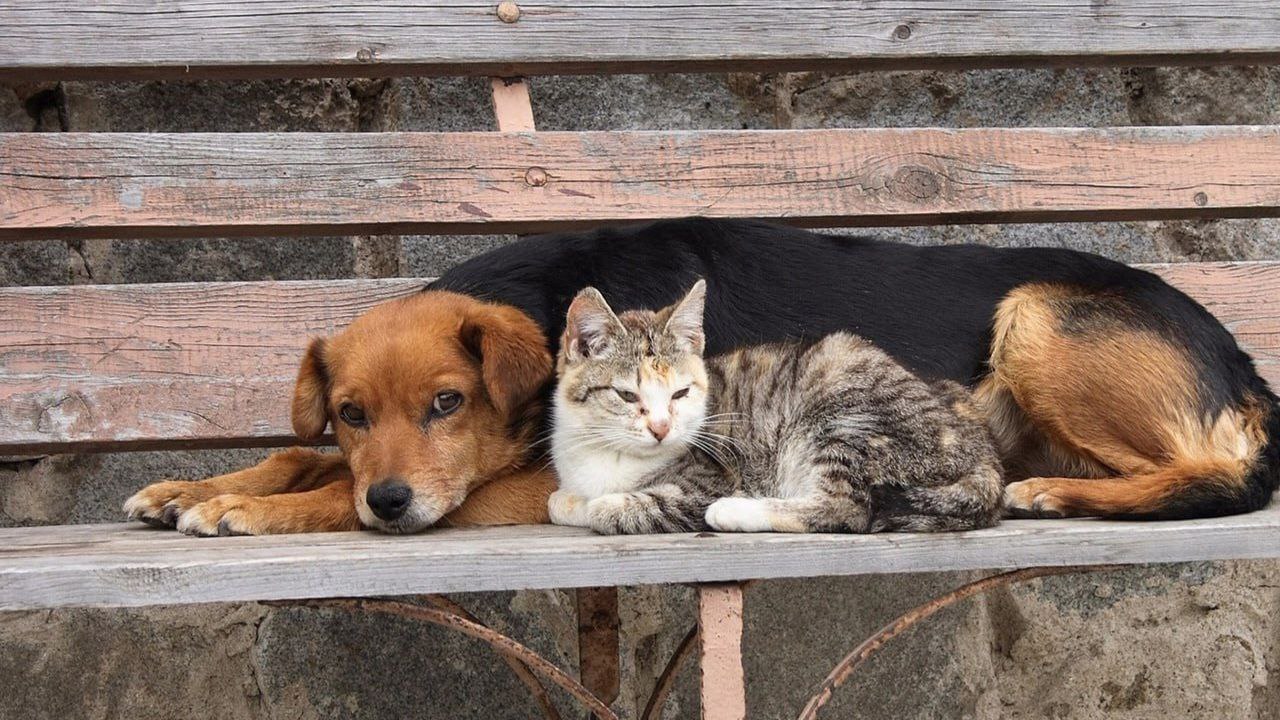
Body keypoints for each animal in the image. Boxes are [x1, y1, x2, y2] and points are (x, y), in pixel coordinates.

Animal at [545, 280, 1003, 532]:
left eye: (680, 394)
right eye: (627, 395)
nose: (661, 428)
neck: (607, 455)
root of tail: (984, 456)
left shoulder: (708, 478)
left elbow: (615, 507)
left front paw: (597, 505)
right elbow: (557, 501)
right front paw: (571, 501)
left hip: (845, 413)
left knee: (846, 508)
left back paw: (735, 512)